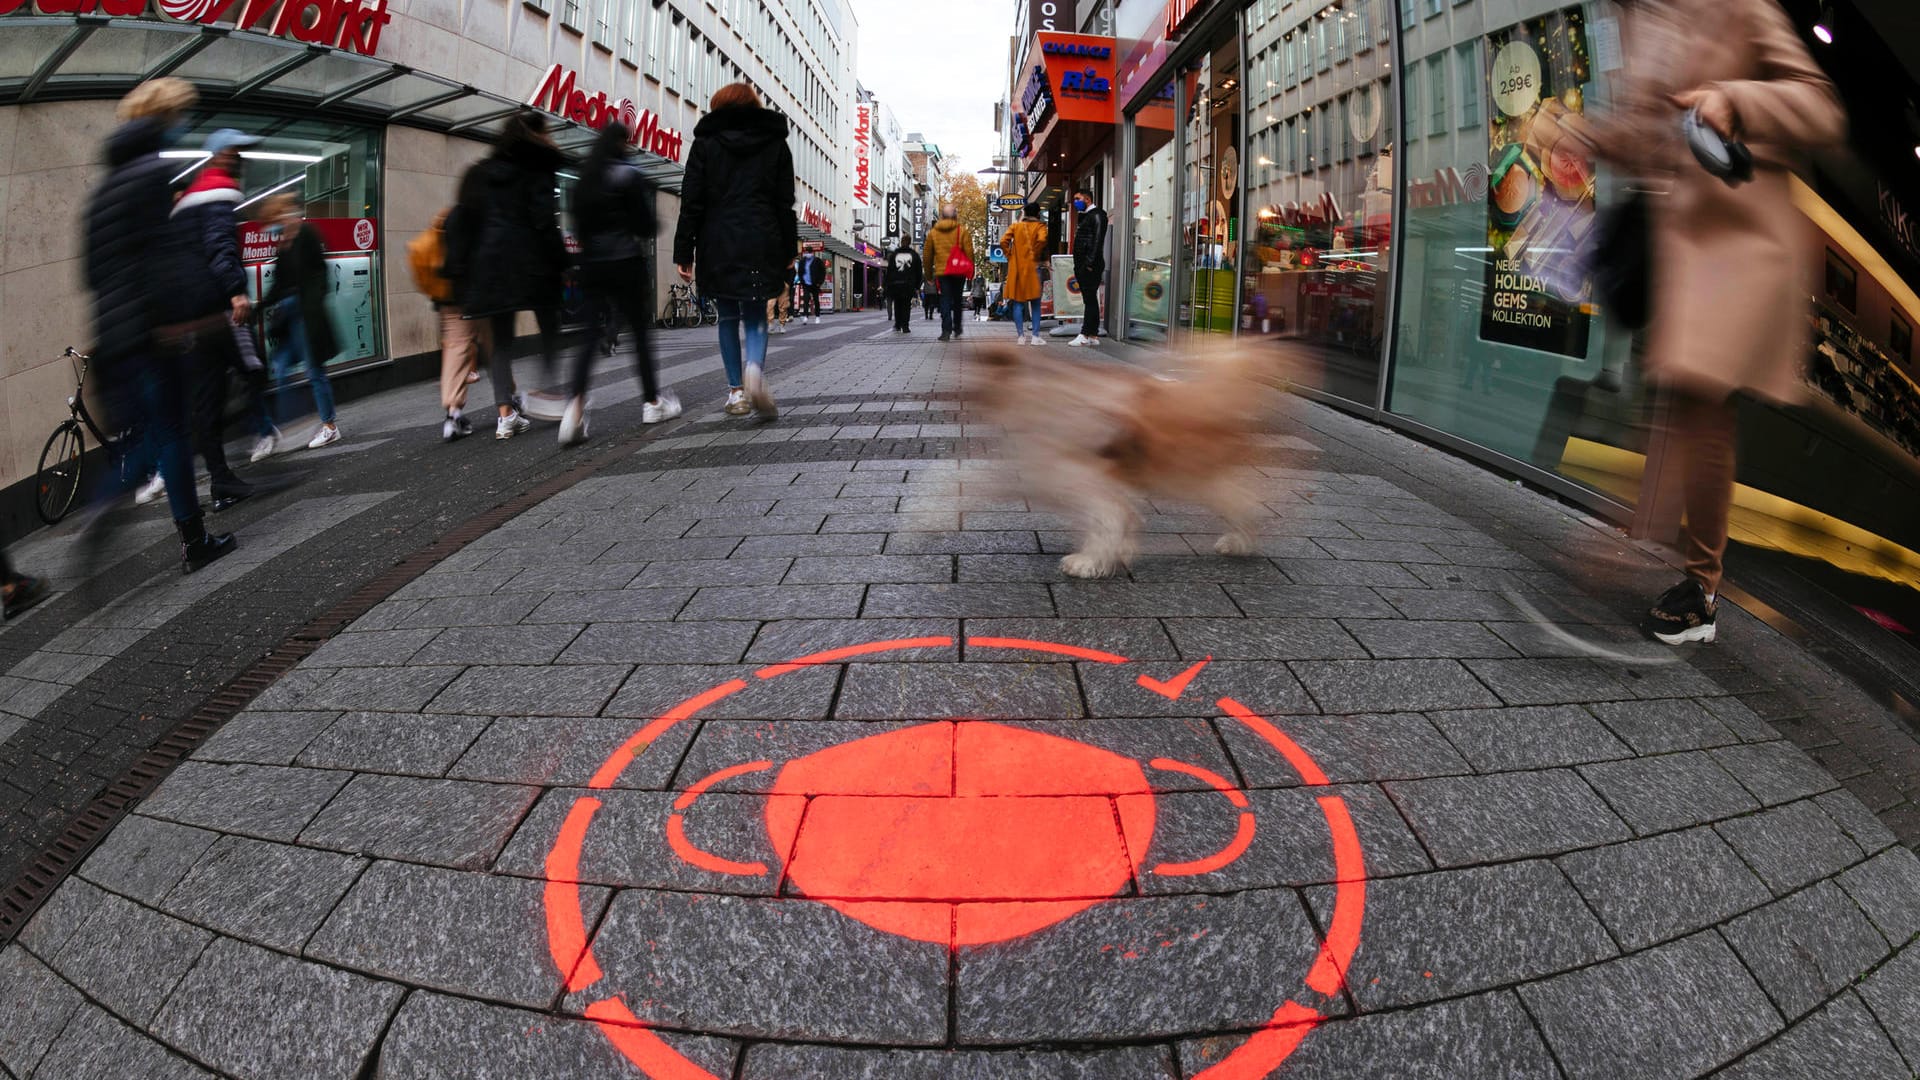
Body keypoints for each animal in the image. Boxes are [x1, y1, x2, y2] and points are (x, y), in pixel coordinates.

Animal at [975, 345, 1274, 580]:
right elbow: (1118, 517)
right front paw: (1117, 551)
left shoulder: (1079, 477)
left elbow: (1109, 518)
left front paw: (1090, 561)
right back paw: (1240, 540)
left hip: (1180, 473)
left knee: (1236, 497)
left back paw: (1241, 538)